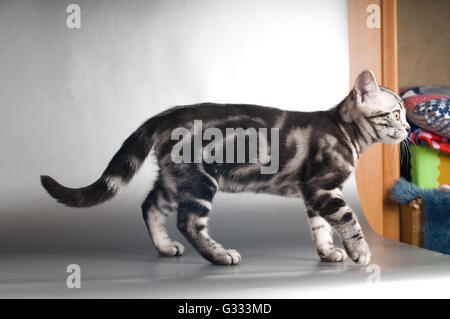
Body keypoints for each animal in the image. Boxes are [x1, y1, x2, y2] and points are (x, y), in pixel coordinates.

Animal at [40, 70, 410, 268]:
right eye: (395, 114)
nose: (408, 129)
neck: (346, 132)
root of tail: (164, 115)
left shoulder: (312, 193)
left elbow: (320, 227)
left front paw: (328, 252)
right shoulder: (322, 186)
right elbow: (347, 219)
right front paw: (360, 251)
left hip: (174, 178)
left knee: (150, 206)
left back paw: (164, 248)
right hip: (199, 180)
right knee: (189, 221)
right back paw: (219, 255)